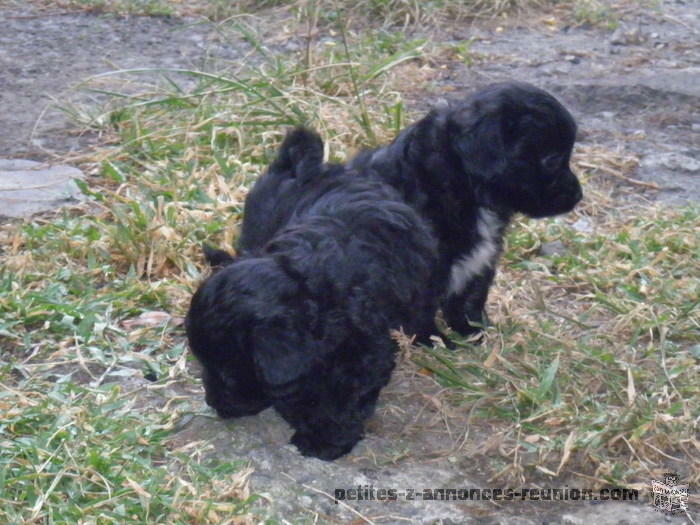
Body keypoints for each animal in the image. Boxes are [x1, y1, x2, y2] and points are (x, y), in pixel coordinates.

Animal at [186, 129, 438, 460]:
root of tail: (301, 167)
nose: (215, 404)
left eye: (228, 372)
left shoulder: (368, 347)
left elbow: (346, 394)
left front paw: (325, 438)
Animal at [239, 81, 580, 336]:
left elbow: (470, 299)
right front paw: (437, 342)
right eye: (551, 159)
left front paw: (475, 333)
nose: (578, 196)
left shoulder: (480, 262)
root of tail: (290, 166)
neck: (458, 183)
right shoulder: (425, 268)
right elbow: (423, 311)